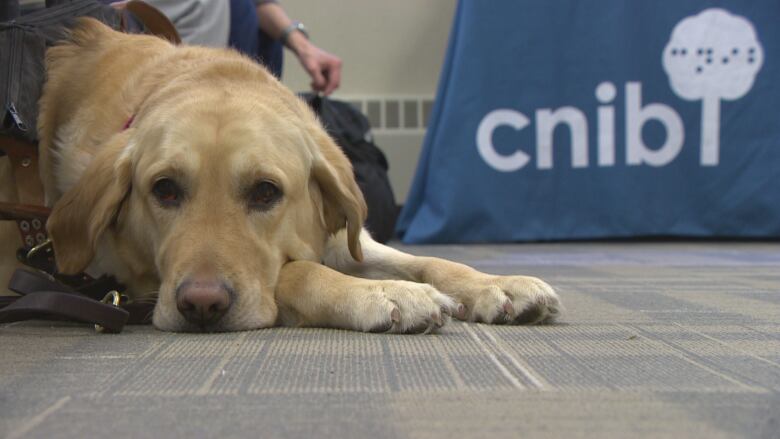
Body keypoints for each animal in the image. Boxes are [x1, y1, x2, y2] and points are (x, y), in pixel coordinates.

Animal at [1, 18, 560, 334]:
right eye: (164, 190)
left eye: (266, 192)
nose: (200, 306)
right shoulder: (138, 277)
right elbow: (296, 271)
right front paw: (386, 294)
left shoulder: (344, 237)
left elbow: (428, 261)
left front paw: (496, 284)